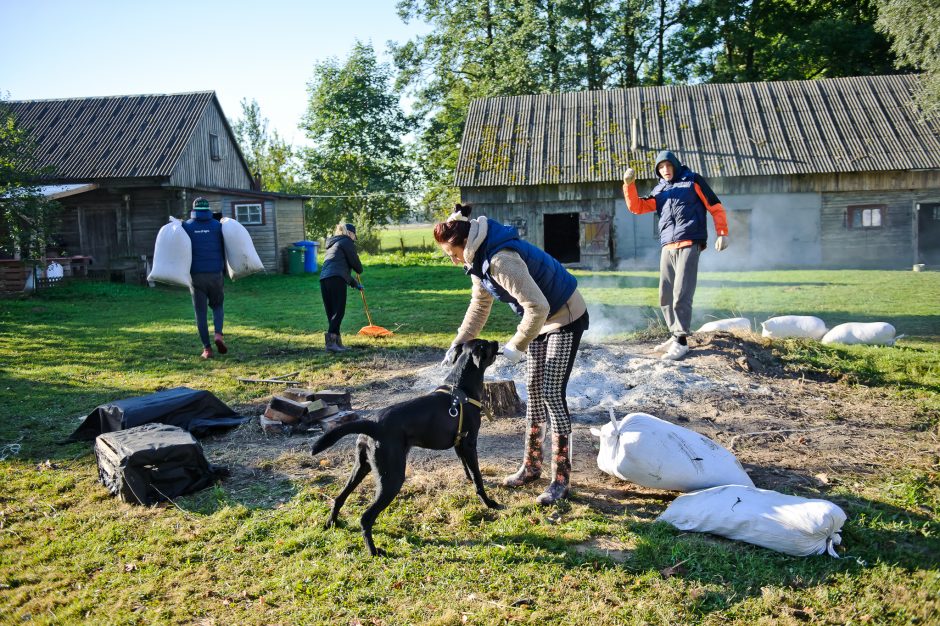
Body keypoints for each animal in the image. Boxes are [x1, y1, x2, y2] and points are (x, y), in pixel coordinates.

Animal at [310, 338, 504, 552]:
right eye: (487, 344)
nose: (496, 341)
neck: (460, 387)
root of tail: (372, 424)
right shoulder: (469, 444)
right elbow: (478, 478)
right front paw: (489, 503)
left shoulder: (459, 445)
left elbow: (466, 469)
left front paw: (469, 481)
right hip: (392, 478)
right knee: (365, 517)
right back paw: (374, 551)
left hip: (362, 467)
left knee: (339, 498)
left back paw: (331, 523)